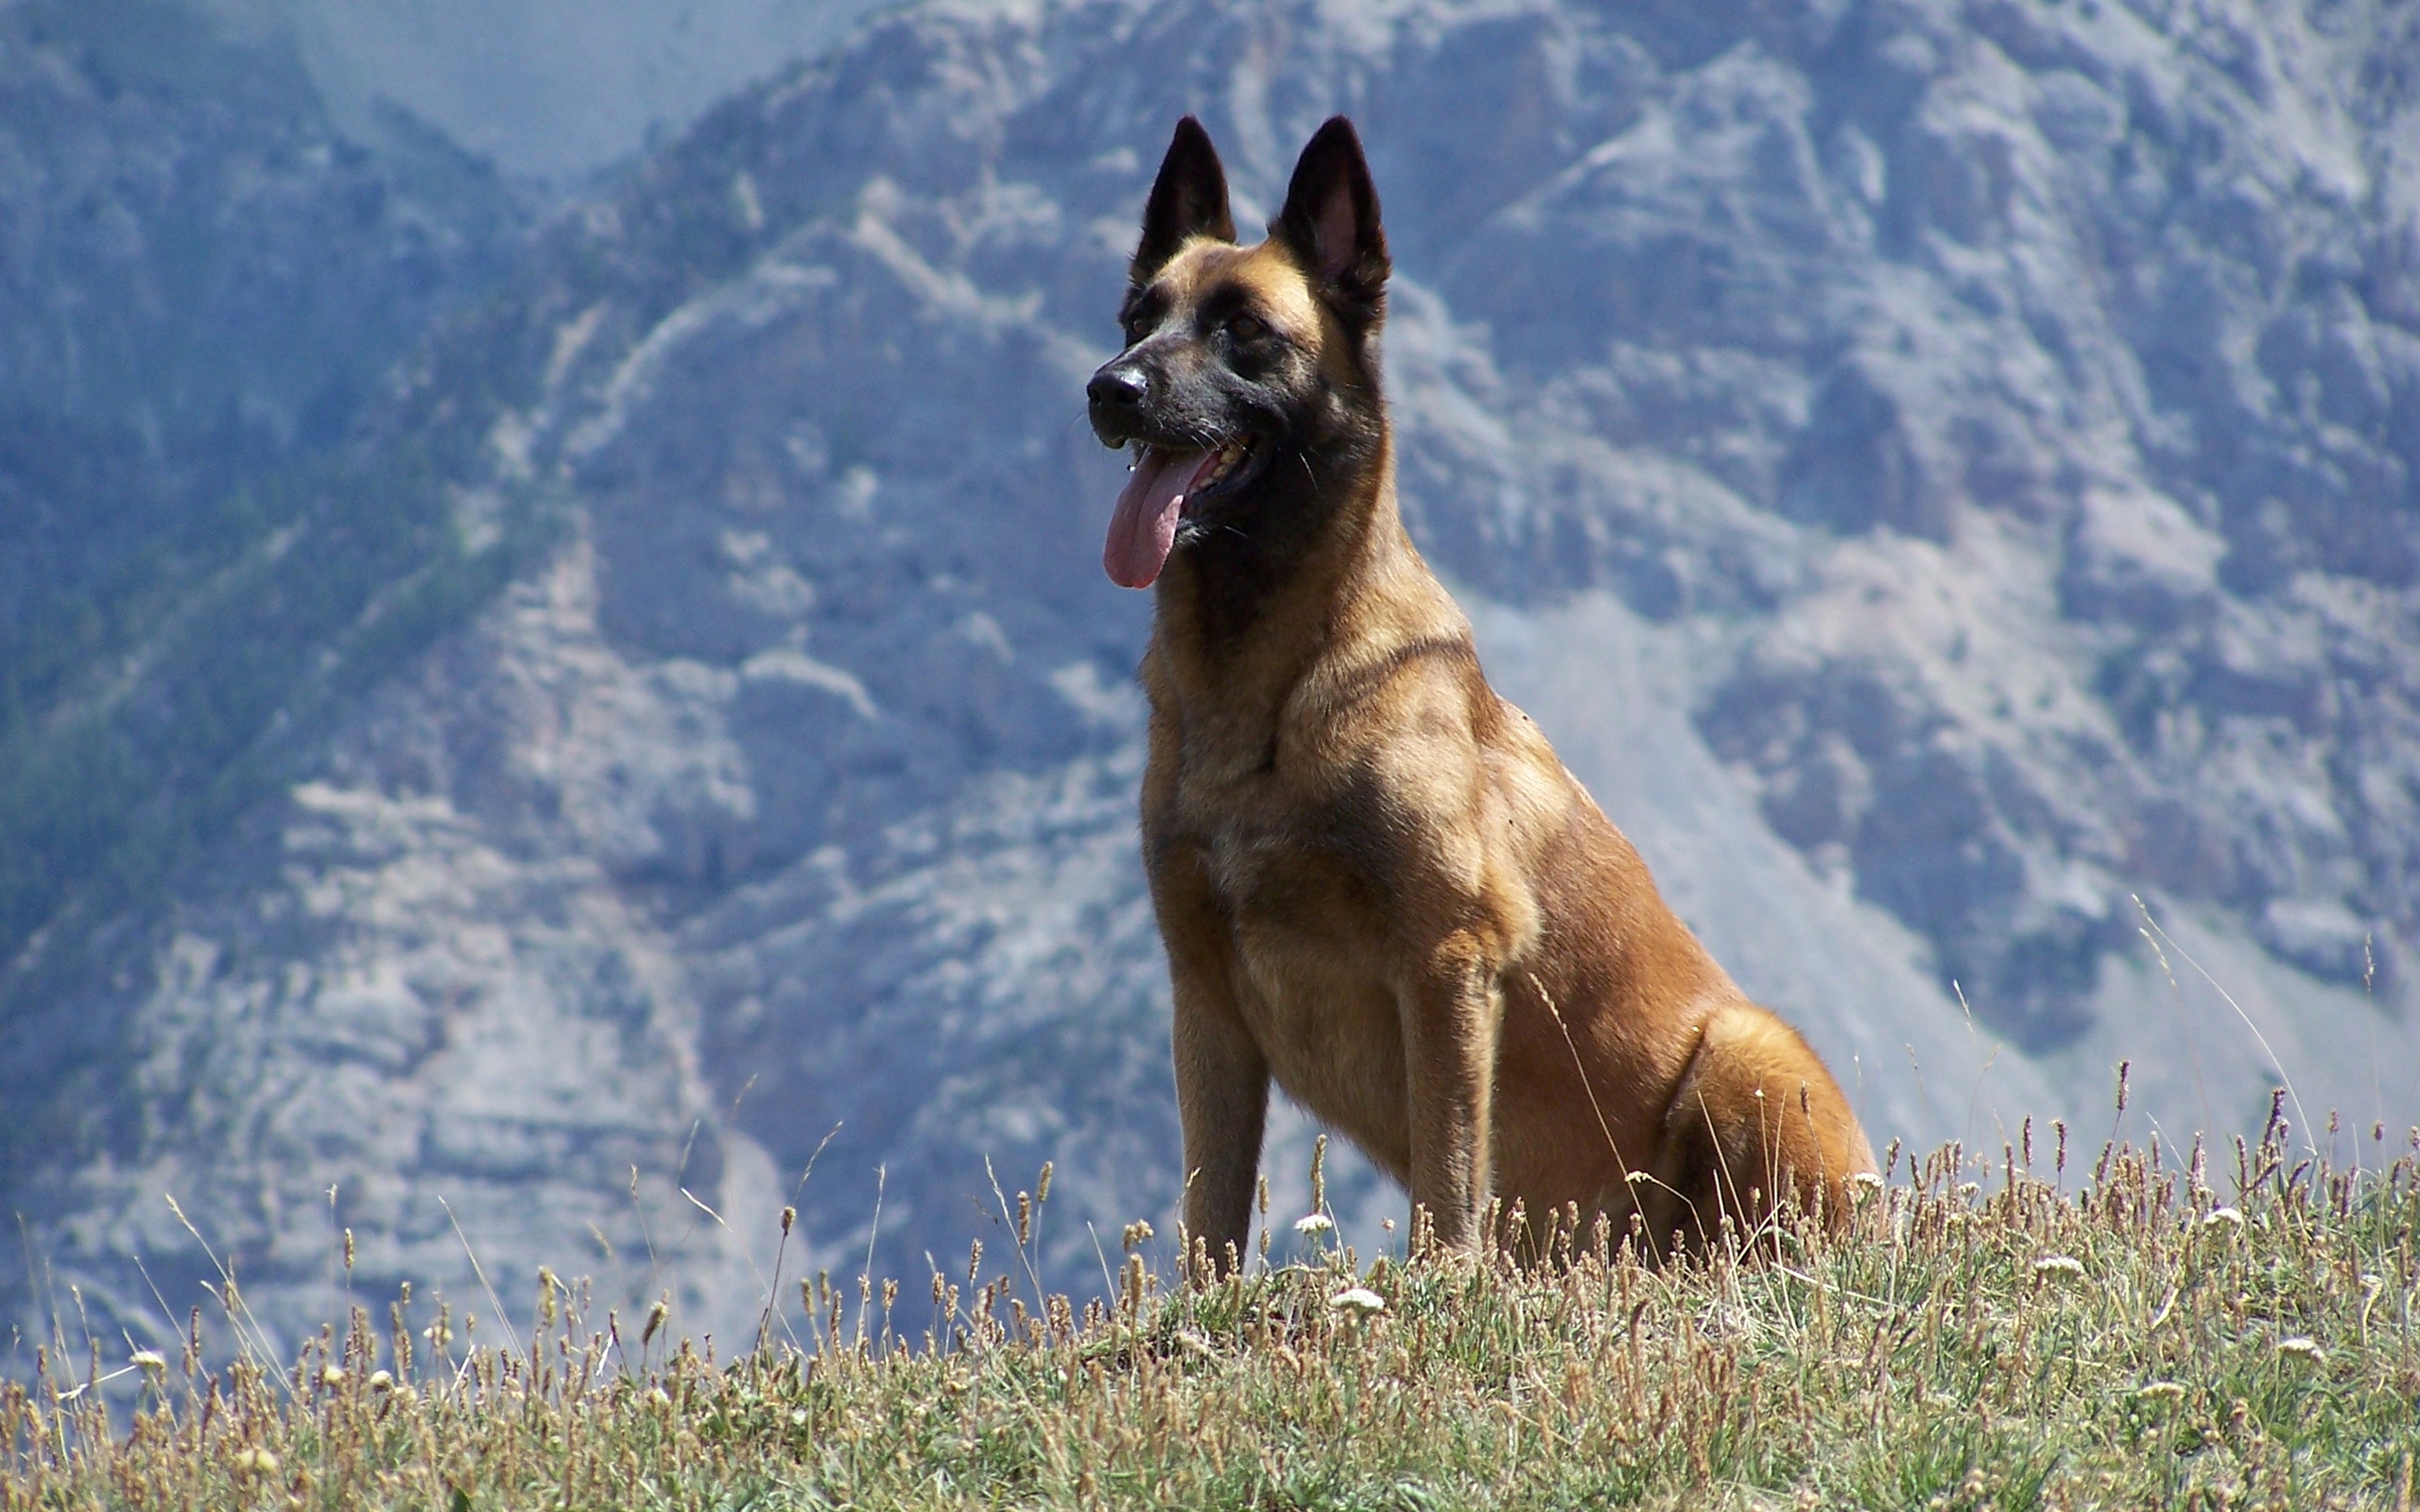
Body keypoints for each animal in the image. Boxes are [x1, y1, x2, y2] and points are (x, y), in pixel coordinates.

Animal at [1089, 112, 1877, 1258]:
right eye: (1138, 317)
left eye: (1245, 331)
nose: (1109, 388)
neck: (1270, 687)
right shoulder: (1206, 996)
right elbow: (1211, 1214)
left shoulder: (1447, 958)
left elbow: (1449, 1175)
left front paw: (1441, 1281)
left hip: (1746, 1045)